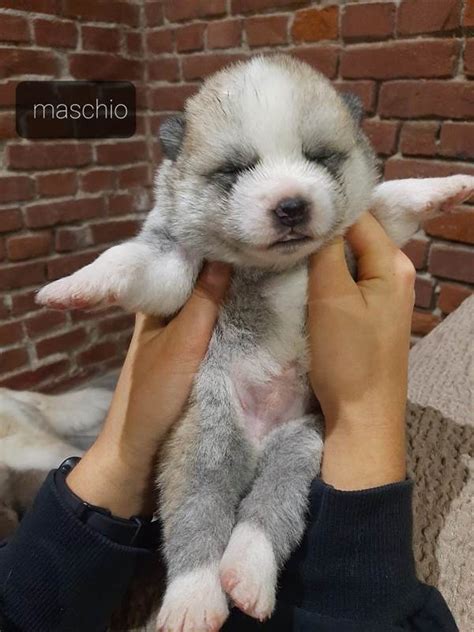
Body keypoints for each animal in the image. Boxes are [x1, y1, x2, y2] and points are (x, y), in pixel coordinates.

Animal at [38, 55, 474, 632]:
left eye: (319, 158)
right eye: (234, 171)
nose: (291, 205)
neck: (276, 267)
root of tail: (258, 447)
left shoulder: (364, 231)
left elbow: (394, 198)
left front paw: (450, 185)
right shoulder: (173, 268)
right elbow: (128, 260)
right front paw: (74, 285)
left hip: (301, 446)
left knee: (267, 514)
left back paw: (247, 575)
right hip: (204, 441)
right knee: (197, 520)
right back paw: (194, 598)